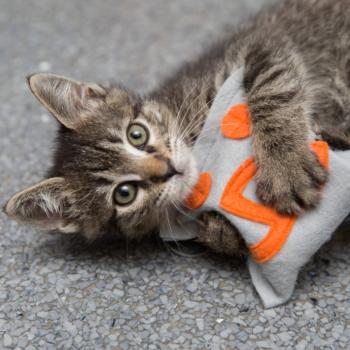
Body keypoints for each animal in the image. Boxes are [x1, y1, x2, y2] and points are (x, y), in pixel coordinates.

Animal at [4, 0, 350, 256]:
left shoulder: (260, 47)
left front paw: (285, 168)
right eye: (124, 194)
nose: (168, 168)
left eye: (137, 134)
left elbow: (272, 90)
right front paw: (221, 230)